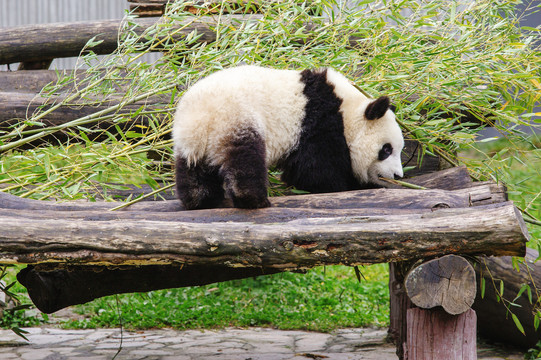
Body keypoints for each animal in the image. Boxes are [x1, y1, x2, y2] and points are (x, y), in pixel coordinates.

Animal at [171, 66, 402, 210]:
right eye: (386, 149)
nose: (398, 175)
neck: (348, 111)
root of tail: (202, 118)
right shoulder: (318, 125)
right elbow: (315, 171)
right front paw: (345, 186)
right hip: (236, 119)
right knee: (244, 160)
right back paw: (253, 200)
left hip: (190, 140)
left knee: (192, 170)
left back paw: (200, 200)